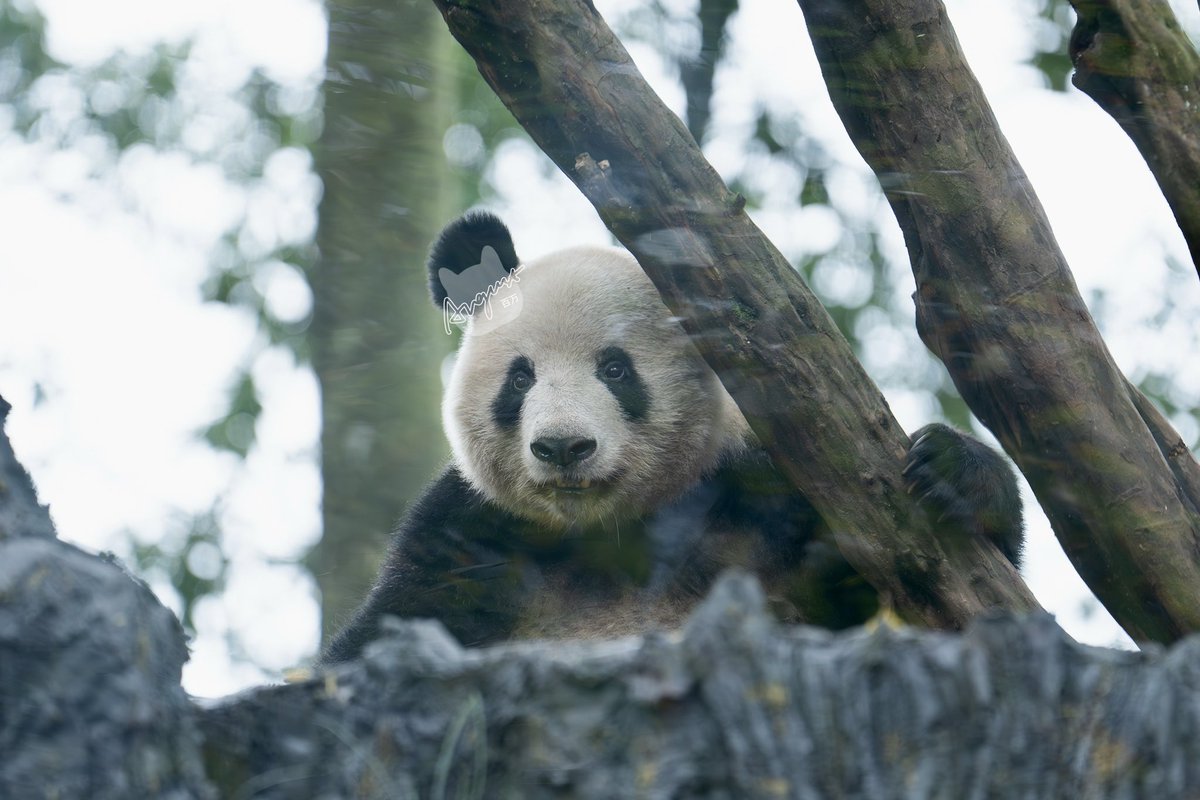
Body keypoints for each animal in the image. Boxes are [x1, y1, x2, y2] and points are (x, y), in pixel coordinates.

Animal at [320, 211, 1024, 664]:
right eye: (520, 379)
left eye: (615, 369)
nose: (563, 448)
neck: (610, 533)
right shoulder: (466, 543)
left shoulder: (766, 504)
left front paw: (953, 472)